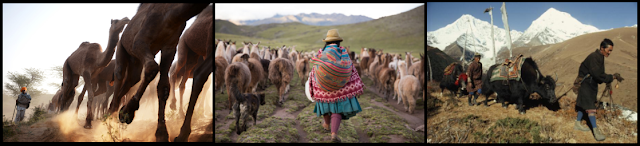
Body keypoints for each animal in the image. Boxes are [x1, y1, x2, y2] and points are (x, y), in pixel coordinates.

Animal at [106, 3, 209, 143]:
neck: (173, 15)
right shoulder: (139, 42)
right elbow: (152, 68)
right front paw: (129, 110)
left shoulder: (169, 47)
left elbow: (163, 87)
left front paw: (162, 134)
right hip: (122, 47)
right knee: (120, 74)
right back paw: (112, 113)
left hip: (135, 63)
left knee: (131, 80)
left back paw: (115, 112)